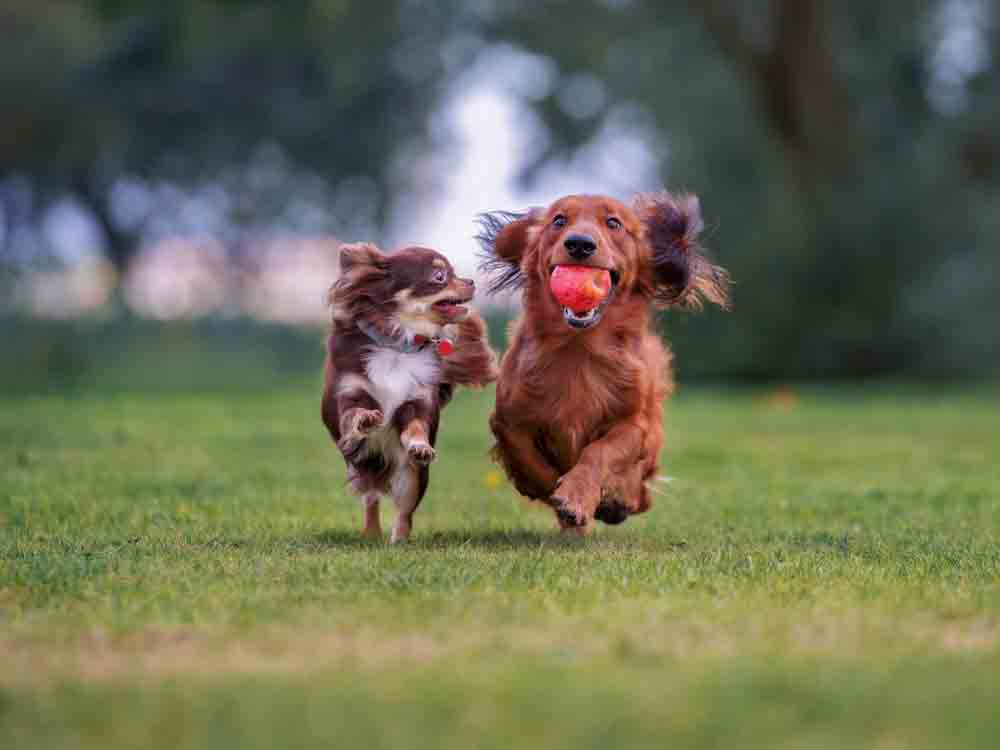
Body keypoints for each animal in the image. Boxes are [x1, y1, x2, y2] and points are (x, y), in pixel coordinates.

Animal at [322, 244, 498, 544]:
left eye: (454, 272)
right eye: (440, 277)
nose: (471, 281)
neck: (397, 346)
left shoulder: (417, 401)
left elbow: (416, 427)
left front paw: (420, 446)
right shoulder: (350, 393)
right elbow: (353, 414)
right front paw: (365, 420)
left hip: (412, 477)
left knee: (404, 511)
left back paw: (399, 542)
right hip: (362, 465)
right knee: (371, 498)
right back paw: (372, 534)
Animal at [476, 194, 728, 536]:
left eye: (613, 223)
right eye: (558, 220)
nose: (580, 244)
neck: (579, 349)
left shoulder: (634, 425)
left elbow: (600, 452)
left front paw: (577, 496)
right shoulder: (508, 417)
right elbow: (525, 454)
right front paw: (551, 490)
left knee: (640, 492)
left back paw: (617, 502)